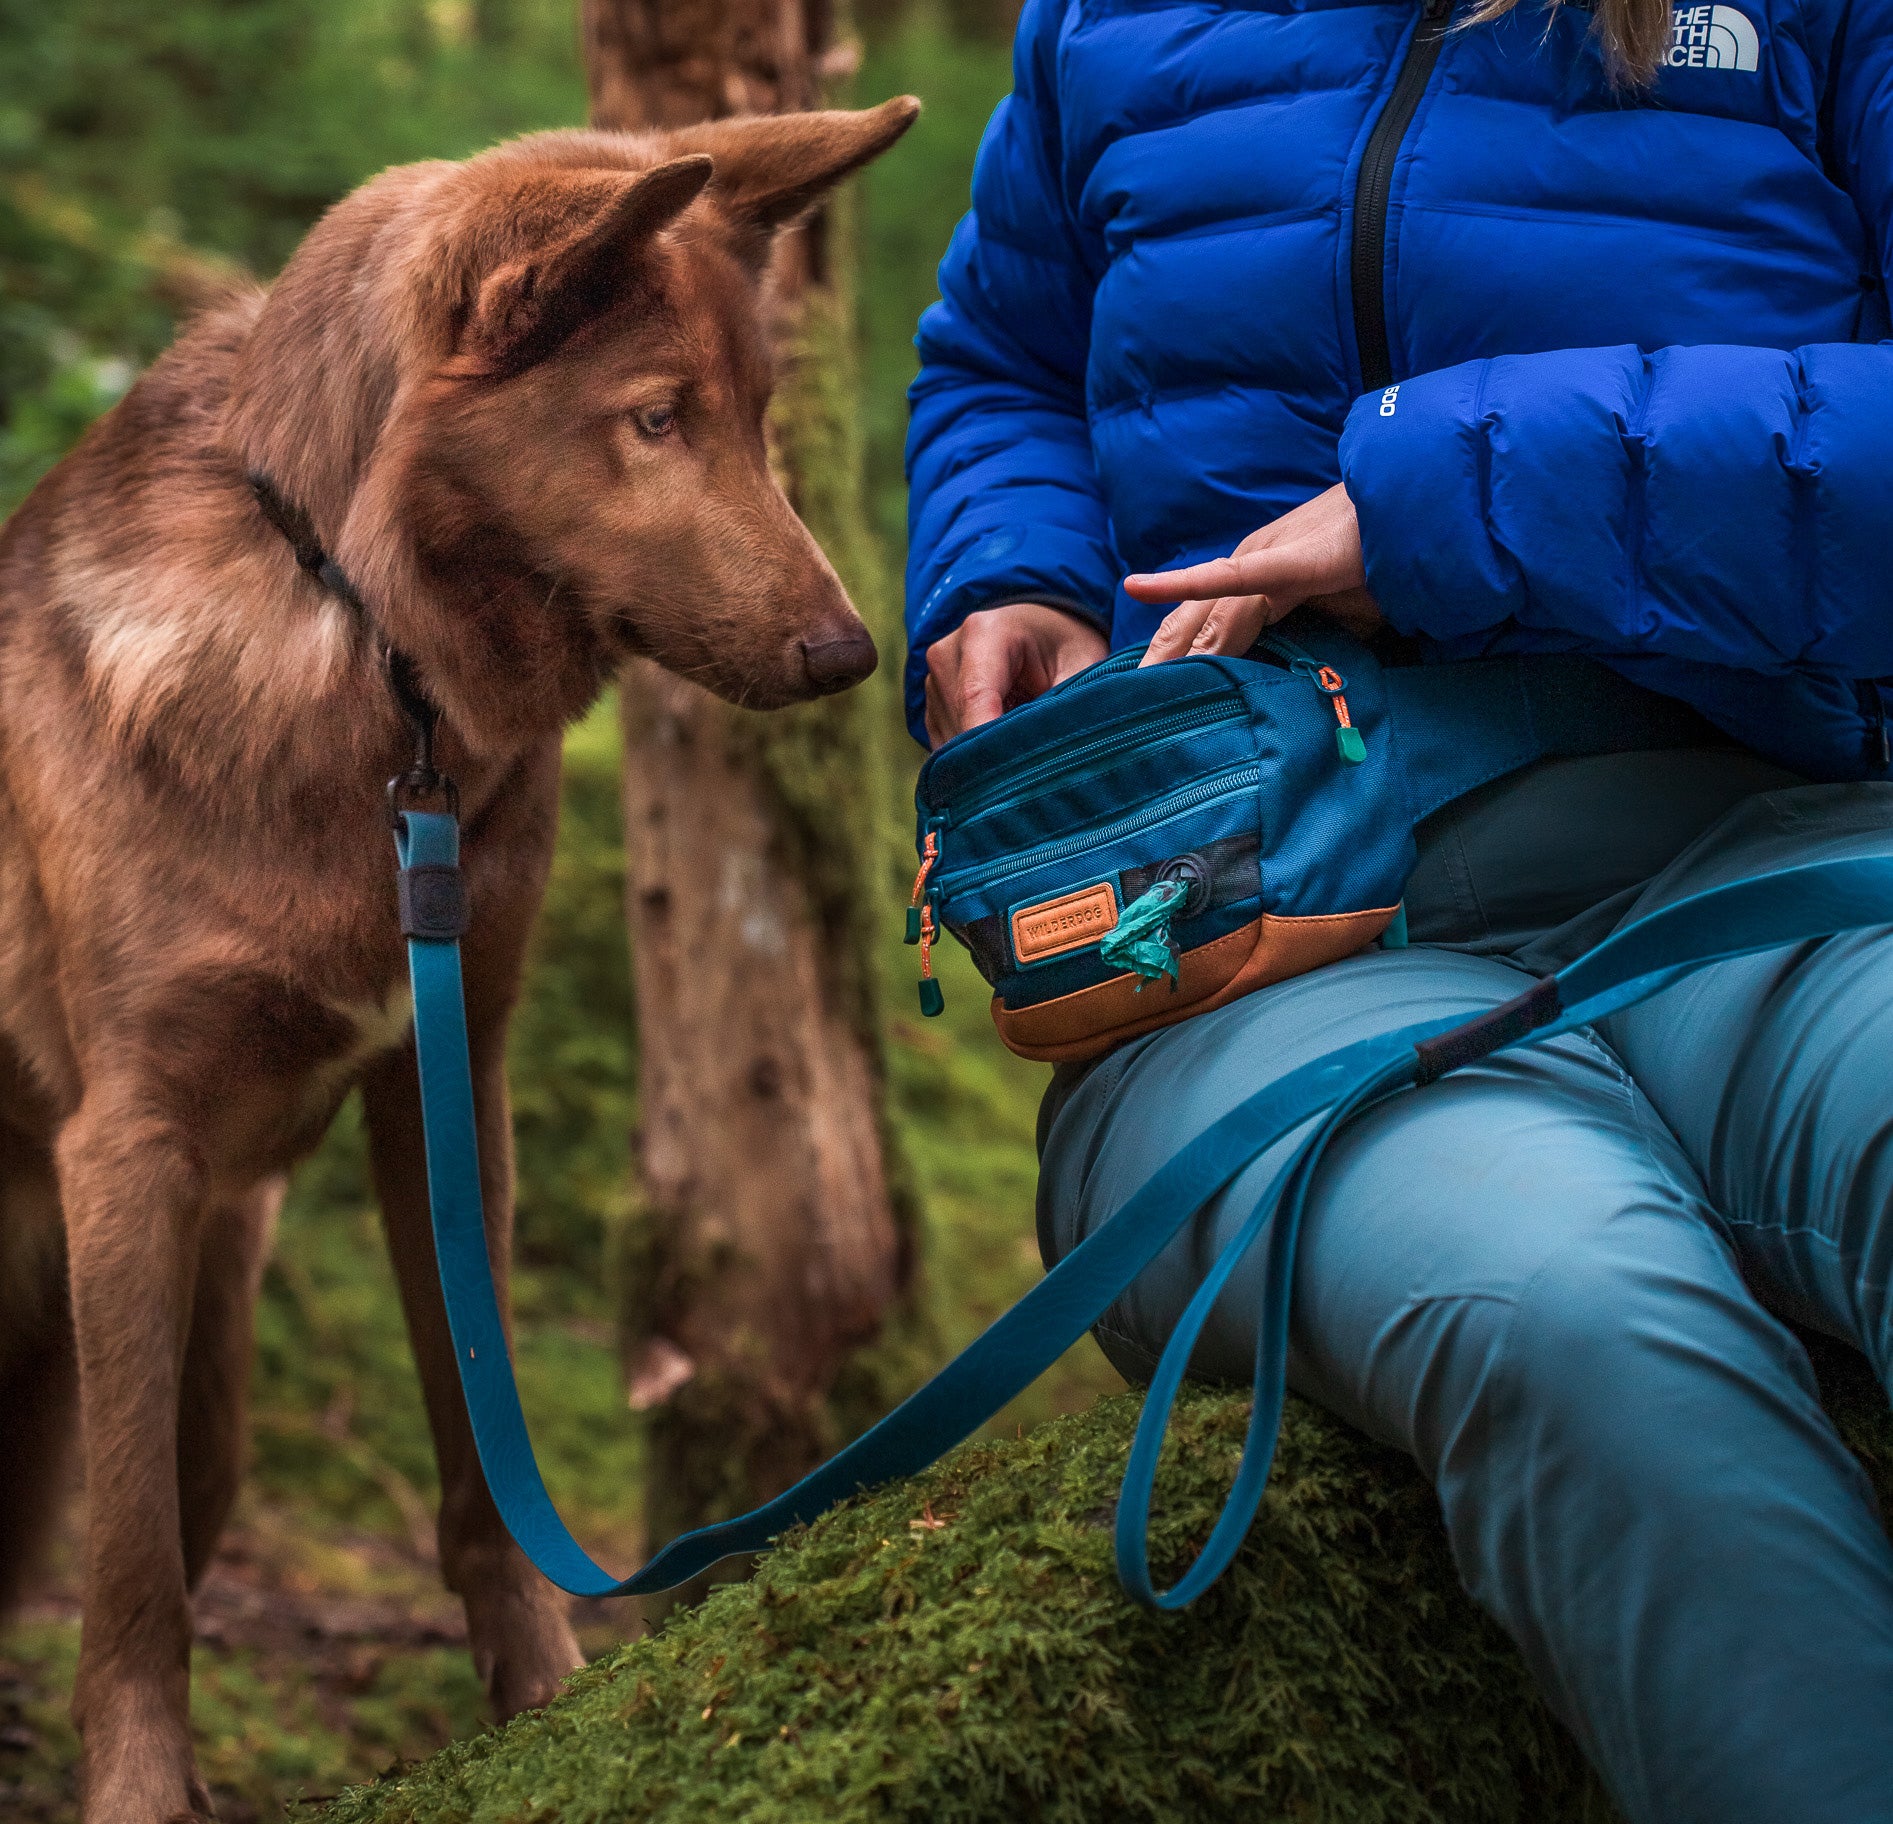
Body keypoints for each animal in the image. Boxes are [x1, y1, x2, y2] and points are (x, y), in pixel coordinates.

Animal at [0, 92, 916, 1816]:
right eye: (654, 419)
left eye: (761, 417)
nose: (851, 656)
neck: (371, 669)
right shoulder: (129, 1148)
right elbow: (133, 1570)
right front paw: (142, 1791)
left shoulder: (446, 1081)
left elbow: (481, 1461)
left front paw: (542, 1705)